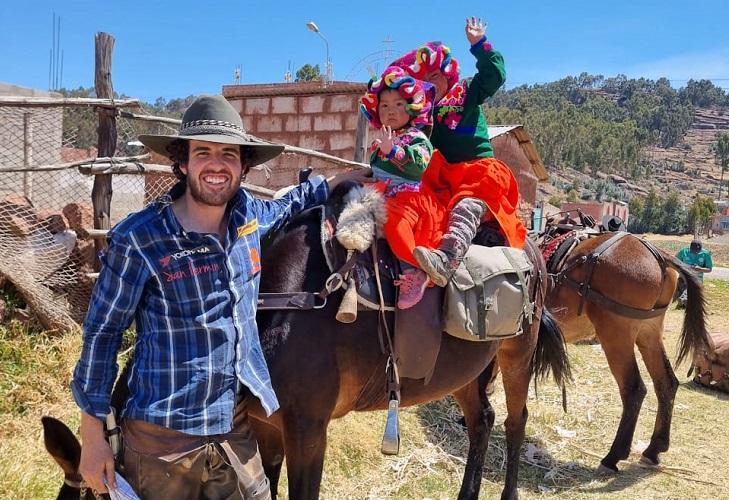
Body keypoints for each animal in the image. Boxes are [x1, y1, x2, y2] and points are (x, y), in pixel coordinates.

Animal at [536, 229, 708, 472]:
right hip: (649, 331)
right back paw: (654, 449)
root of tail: (658, 256)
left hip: (616, 334)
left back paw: (613, 456)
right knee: (666, 383)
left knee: (634, 389)